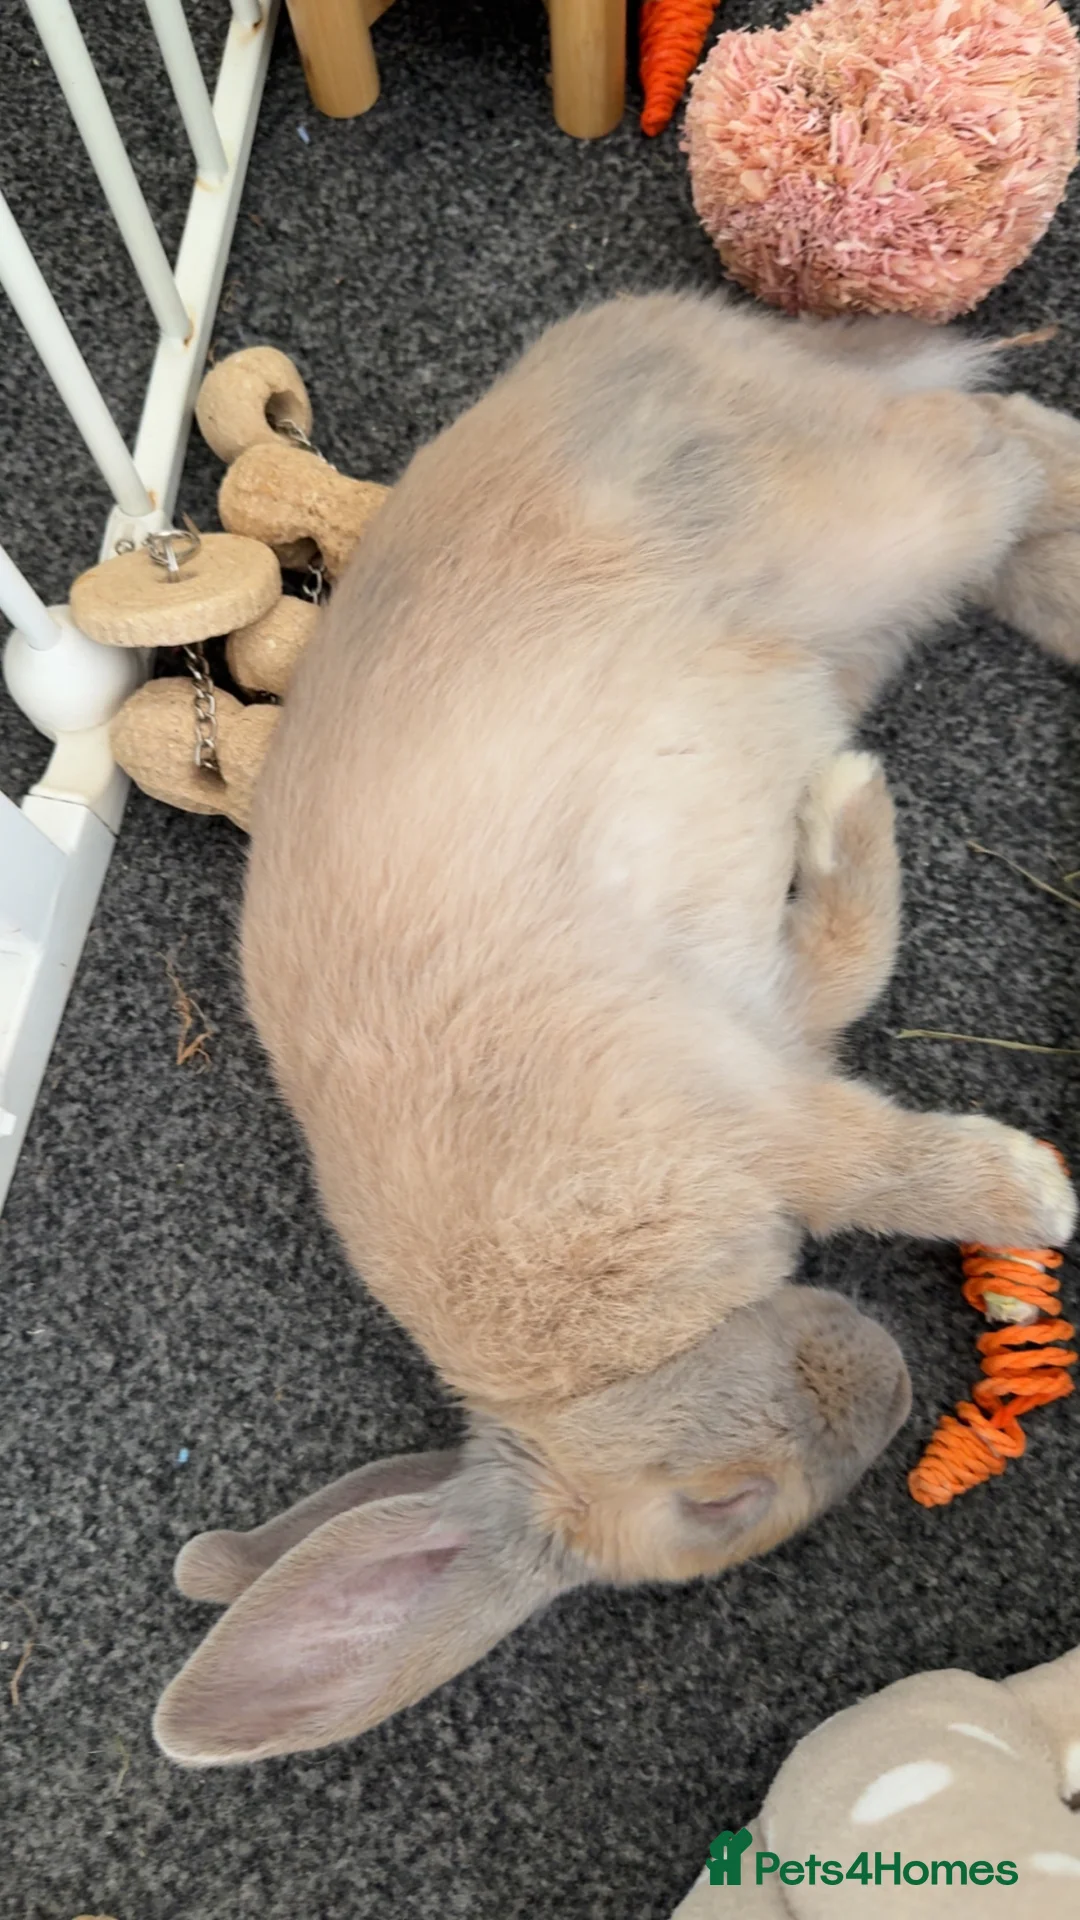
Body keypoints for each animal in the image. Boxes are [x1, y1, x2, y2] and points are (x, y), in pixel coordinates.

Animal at [155, 292, 1079, 1767]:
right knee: (1020, 463)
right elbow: (852, 967)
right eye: (726, 1510)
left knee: (1009, 442)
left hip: (877, 520)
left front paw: (1037, 1193)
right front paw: (845, 809)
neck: (618, 1360)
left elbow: (880, 1164)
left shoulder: (740, 1114)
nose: (881, 1382)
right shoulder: (771, 1039)